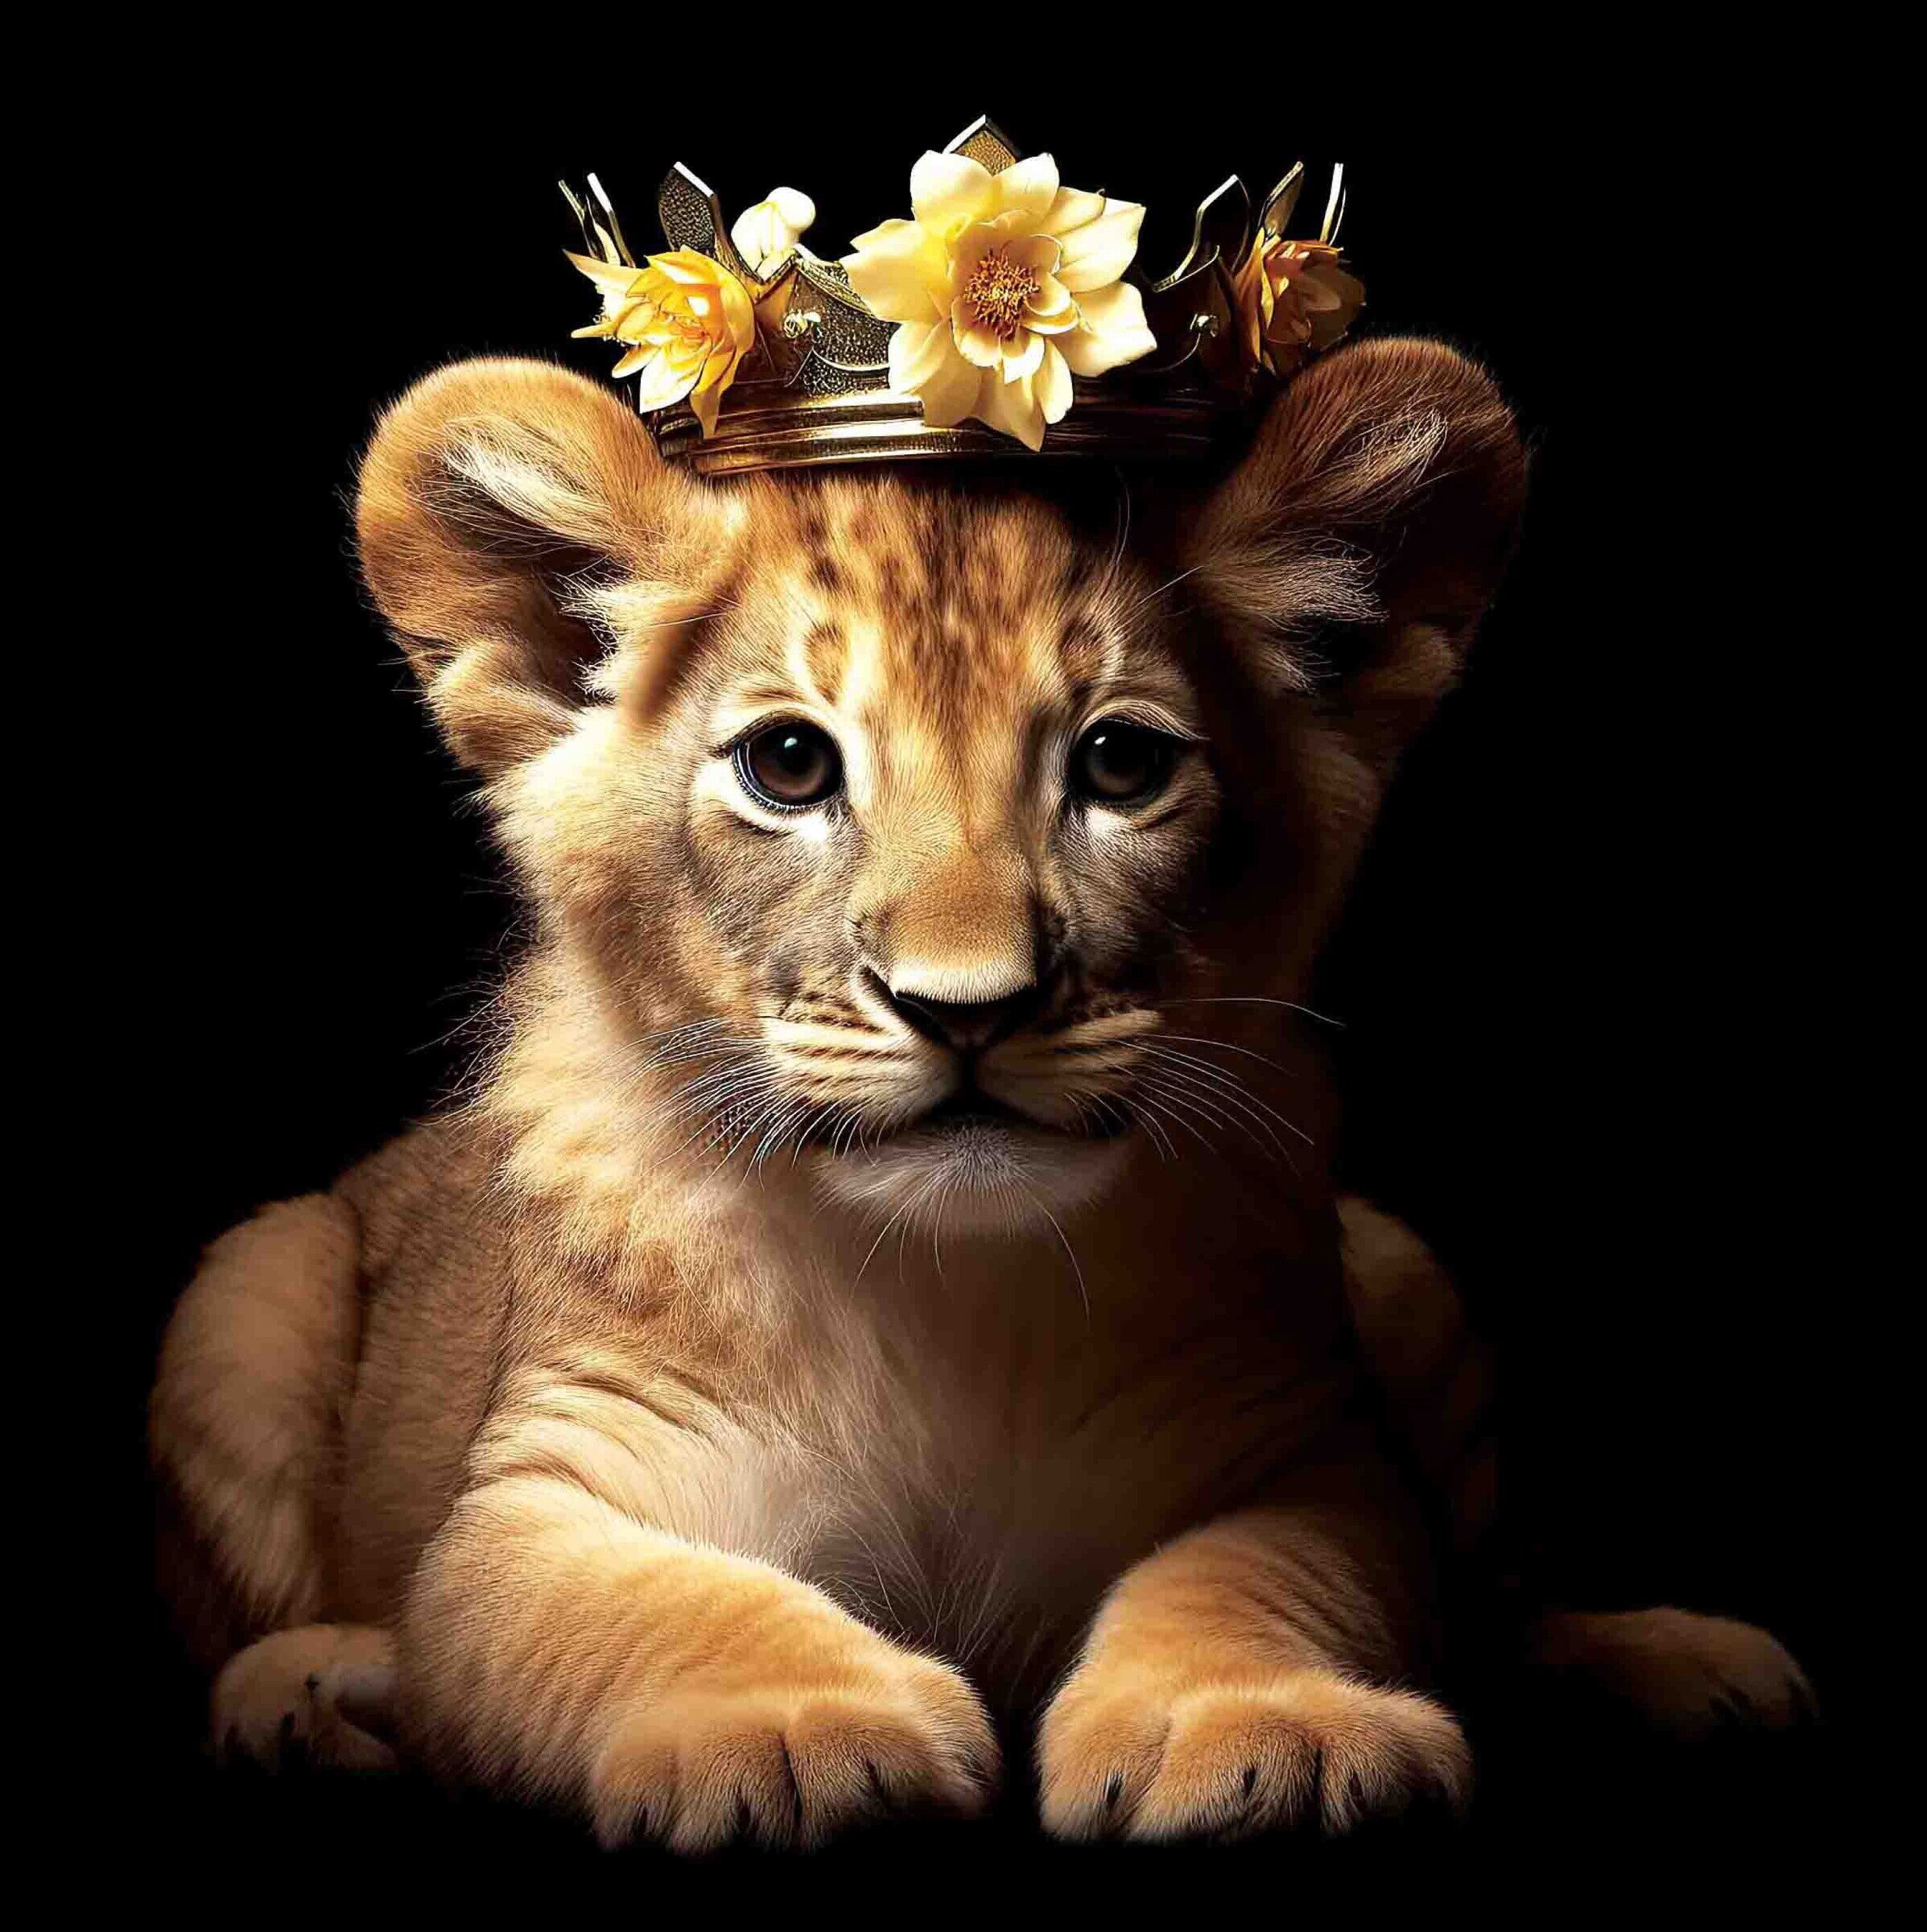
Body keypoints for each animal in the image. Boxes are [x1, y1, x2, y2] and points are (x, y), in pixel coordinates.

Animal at [150, 340, 1810, 1850]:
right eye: (787, 765)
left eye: (1121, 765)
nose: (969, 1007)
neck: (941, 1291)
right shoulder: (547, 1488)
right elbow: (640, 1604)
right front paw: (799, 1731)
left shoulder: (1306, 1454)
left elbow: (1257, 1578)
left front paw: (1253, 1726)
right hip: (249, 1282)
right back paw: (319, 1692)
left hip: (1407, 1274)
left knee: (1504, 1593)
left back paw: (1687, 1660)